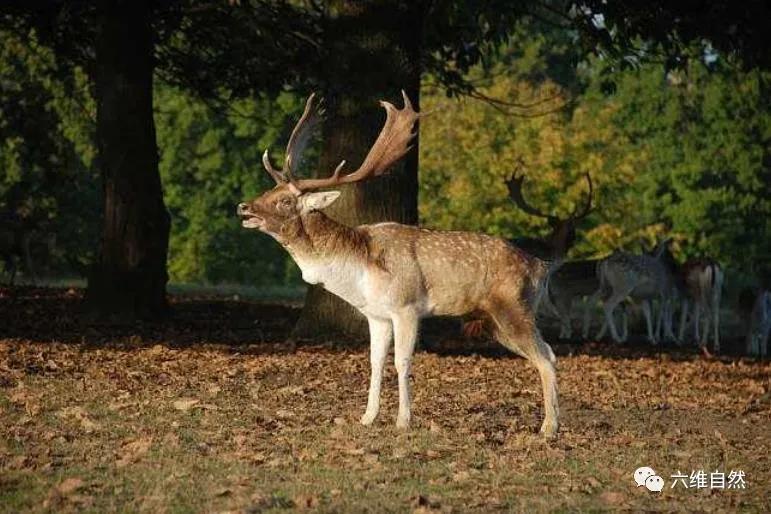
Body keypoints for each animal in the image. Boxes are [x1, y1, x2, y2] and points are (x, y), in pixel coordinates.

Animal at [237, 93, 560, 436]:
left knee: (547, 357)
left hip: (514, 308)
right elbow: (375, 362)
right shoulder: (376, 315)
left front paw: (403, 421)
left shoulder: (407, 307)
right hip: (493, 321)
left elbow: (402, 362)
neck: (358, 273)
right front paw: (367, 417)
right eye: (268, 190)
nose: (244, 207)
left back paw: (549, 427)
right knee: (548, 354)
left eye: (285, 201)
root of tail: (542, 267)